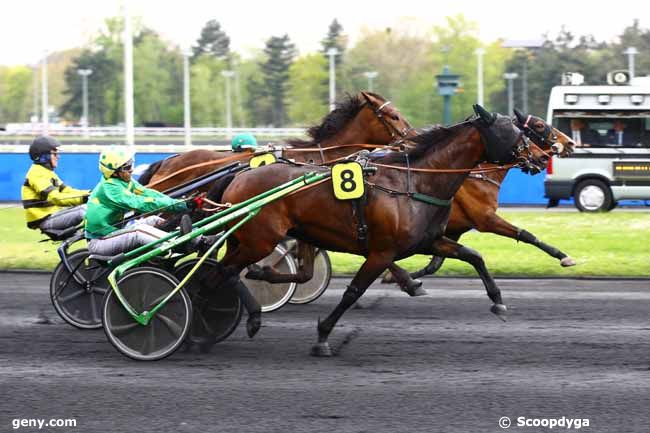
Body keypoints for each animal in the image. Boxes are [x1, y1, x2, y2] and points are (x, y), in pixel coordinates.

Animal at [216, 104, 548, 354]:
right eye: (517, 132)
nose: (542, 156)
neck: (415, 183)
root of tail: (239, 176)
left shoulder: (429, 241)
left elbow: (473, 255)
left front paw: (498, 301)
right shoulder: (382, 251)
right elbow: (353, 291)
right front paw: (323, 336)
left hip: (250, 239)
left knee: (227, 269)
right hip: (260, 240)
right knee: (226, 271)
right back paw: (253, 316)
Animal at [382, 107, 576, 294]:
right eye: (539, 125)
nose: (569, 143)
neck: (478, 175)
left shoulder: (452, 231)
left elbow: (434, 265)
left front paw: (397, 278)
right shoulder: (485, 219)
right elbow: (526, 234)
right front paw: (564, 257)